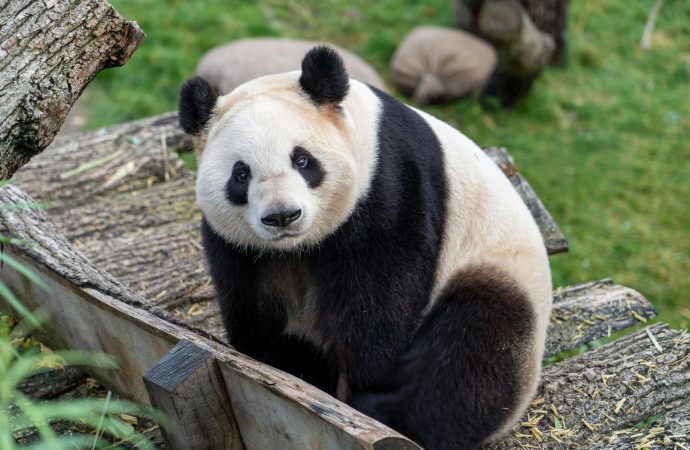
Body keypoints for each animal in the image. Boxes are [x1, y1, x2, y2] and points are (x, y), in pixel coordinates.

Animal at [179, 46, 552, 450]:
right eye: (241, 174)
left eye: (302, 159)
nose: (282, 216)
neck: (299, 246)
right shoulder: (239, 245)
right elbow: (252, 298)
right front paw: (270, 359)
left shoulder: (389, 185)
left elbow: (379, 297)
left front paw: (359, 385)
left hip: (496, 269)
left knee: (474, 349)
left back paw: (388, 413)